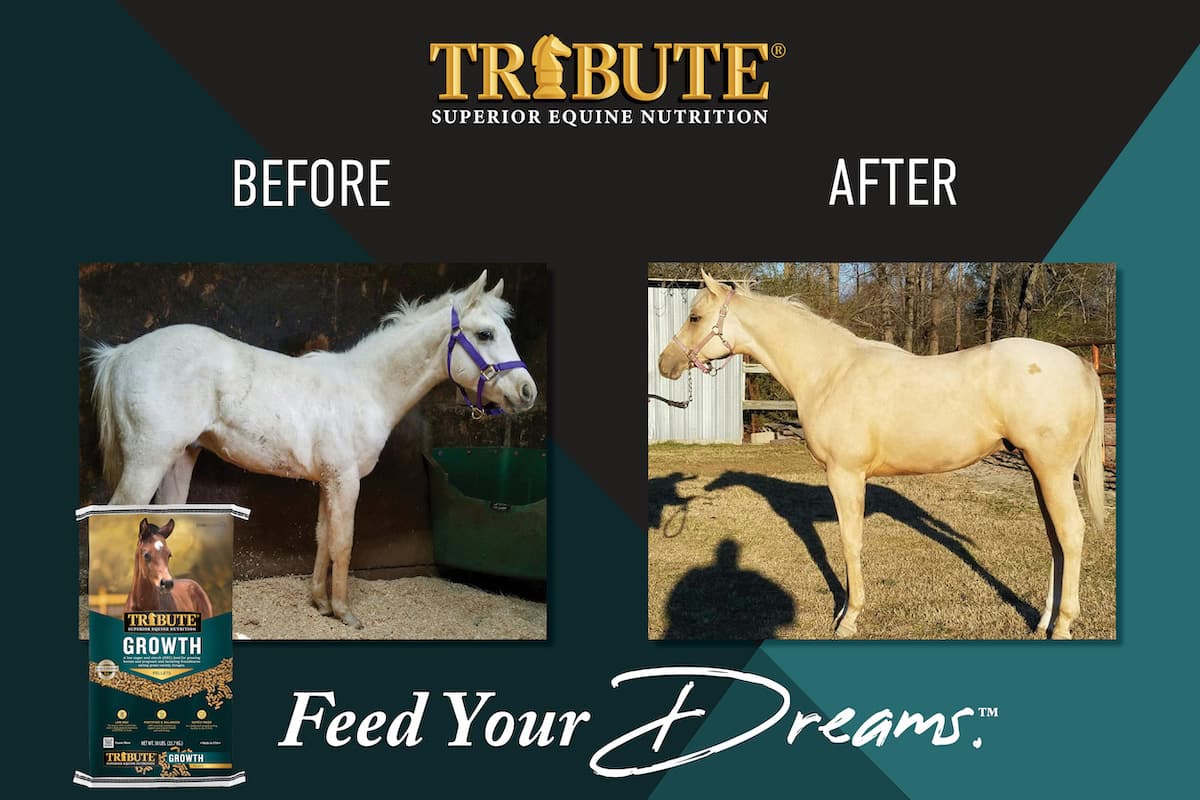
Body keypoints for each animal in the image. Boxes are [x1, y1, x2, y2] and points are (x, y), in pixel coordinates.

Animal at [90, 271, 537, 628]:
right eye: (485, 334)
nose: (527, 392)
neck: (367, 388)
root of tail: (121, 354)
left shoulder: (327, 481)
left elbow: (323, 537)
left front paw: (320, 603)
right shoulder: (346, 480)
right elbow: (344, 542)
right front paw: (345, 612)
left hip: (179, 458)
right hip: (147, 462)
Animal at [658, 271, 1106, 639]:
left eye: (695, 317)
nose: (666, 363)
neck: (830, 373)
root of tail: (1080, 365)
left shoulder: (845, 475)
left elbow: (849, 541)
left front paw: (848, 618)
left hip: (1052, 470)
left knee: (1071, 533)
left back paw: (1063, 626)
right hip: (1039, 471)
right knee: (1055, 538)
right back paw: (1043, 621)